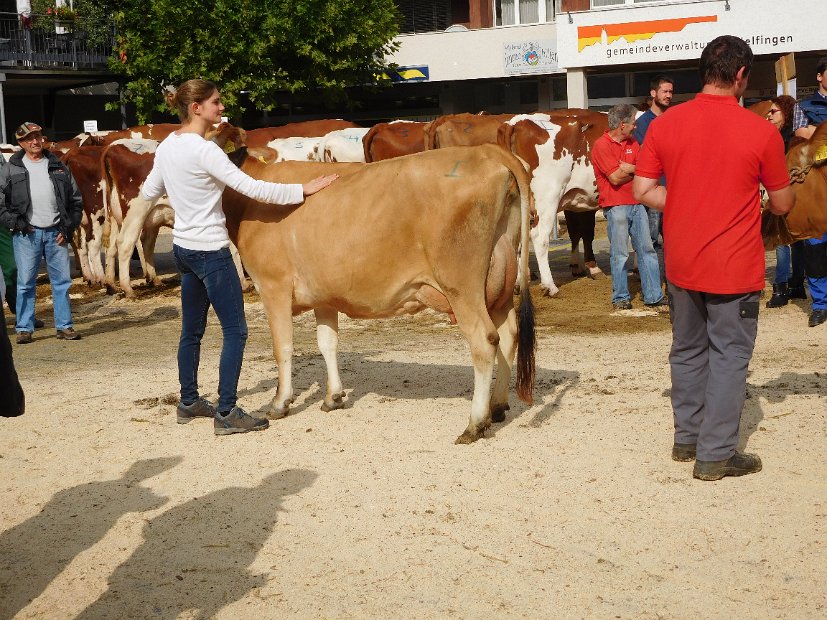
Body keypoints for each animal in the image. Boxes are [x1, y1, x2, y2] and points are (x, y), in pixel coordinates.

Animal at [225, 144, 536, 446]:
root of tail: (487, 150)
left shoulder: (273, 286)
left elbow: (283, 347)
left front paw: (280, 403)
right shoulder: (324, 295)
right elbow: (327, 343)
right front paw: (333, 397)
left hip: (462, 284)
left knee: (484, 341)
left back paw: (475, 424)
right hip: (500, 283)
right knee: (509, 333)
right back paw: (497, 406)